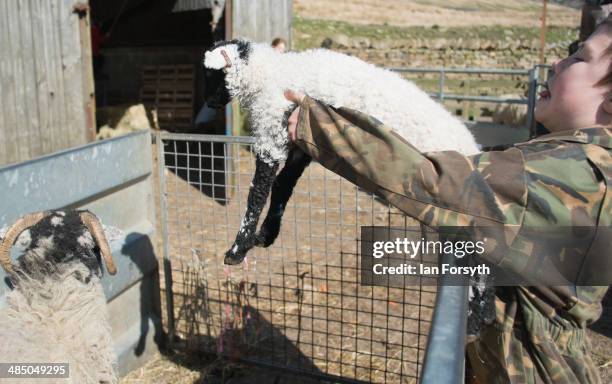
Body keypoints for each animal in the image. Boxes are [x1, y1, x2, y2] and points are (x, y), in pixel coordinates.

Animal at [203, 40, 480, 266]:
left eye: (211, 74)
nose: (209, 103)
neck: (267, 74)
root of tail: (471, 148)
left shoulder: (271, 131)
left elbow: (257, 195)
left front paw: (237, 250)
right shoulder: (300, 141)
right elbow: (282, 185)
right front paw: (265, 236)